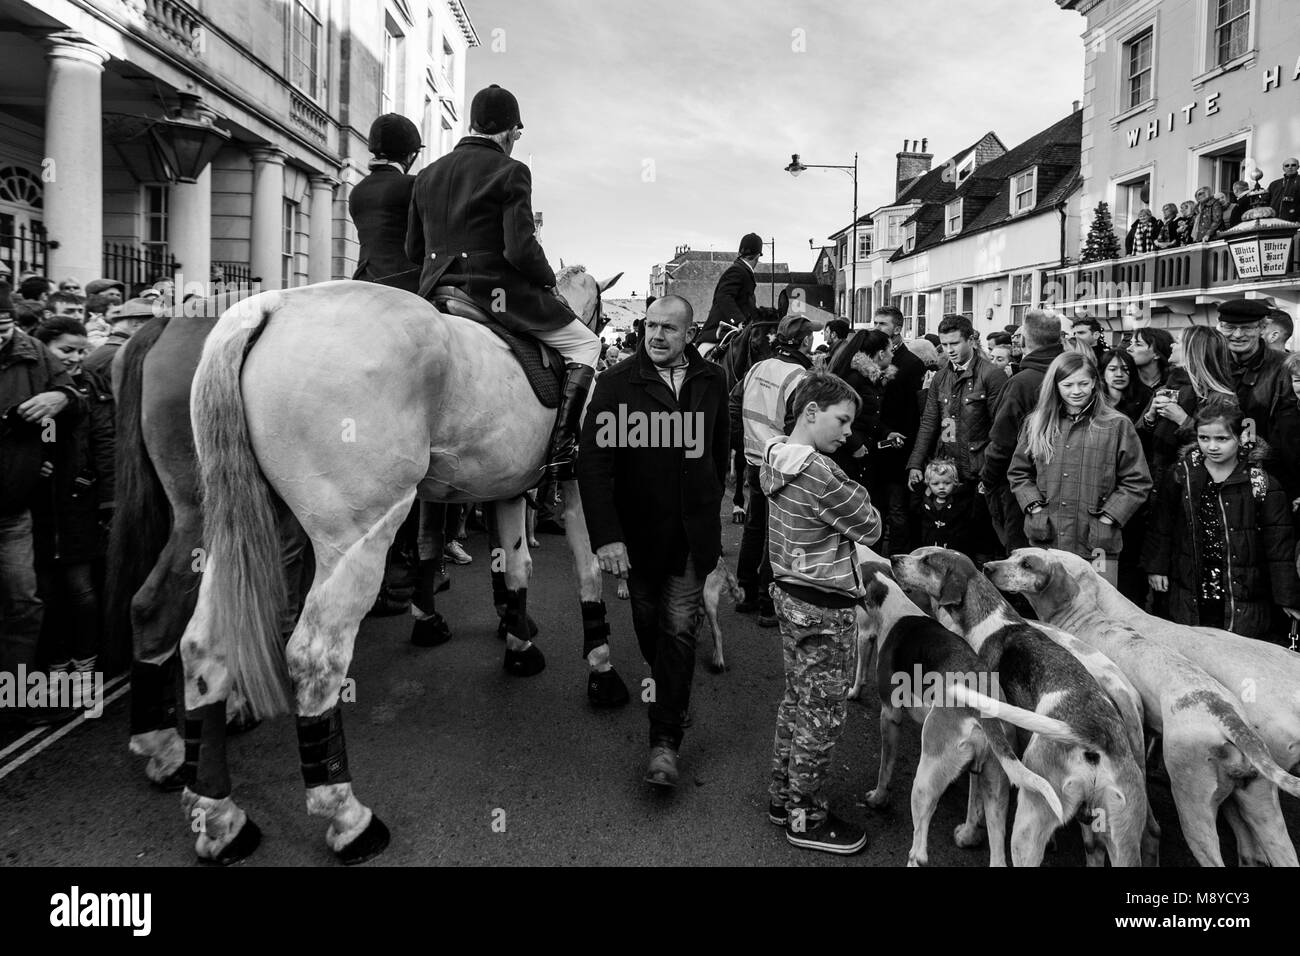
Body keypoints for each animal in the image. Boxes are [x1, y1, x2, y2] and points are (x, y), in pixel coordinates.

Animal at [176, 273, 624, 863]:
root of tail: (268, 306)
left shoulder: (506, 490)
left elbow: (517, 569)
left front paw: (519, 644)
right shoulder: (576, 484)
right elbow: (589, 569)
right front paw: (602, 668)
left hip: (242, 531)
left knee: (204, 646)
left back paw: (219, 815)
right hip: (359, 535)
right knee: (314, 657)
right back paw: (347, 817)